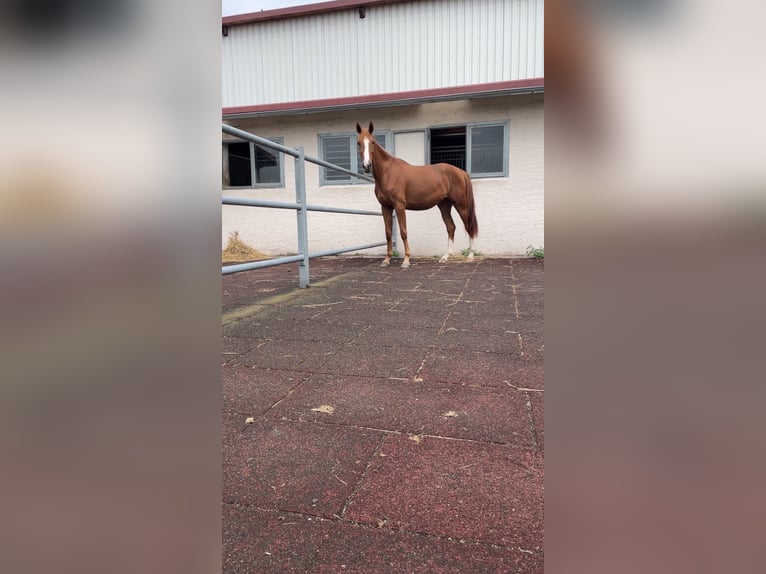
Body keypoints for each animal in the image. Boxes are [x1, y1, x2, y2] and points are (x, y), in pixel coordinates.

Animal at [356, 122, 478, 269]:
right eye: (358, 143)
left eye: (372, 142)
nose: (366, 166)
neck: (388, 172)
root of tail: (461, 172)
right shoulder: (385, 207)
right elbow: (388, 233)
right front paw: (387, 259)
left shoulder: (399, 206)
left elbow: (403, 232)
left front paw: (406, 260)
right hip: (444, 205)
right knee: (451, 227)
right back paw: (445, 257)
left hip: (461, 204)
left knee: (468, 225)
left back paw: (470, 256)